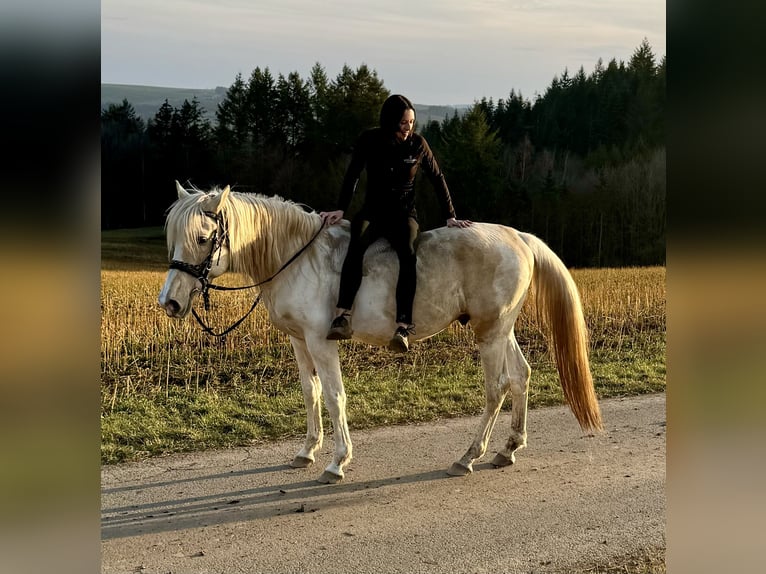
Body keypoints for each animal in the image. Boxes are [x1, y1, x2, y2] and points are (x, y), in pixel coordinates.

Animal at [159, 182, 604, 484]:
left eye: (203, 237)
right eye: (172, 238)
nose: (170, 303)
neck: (296, 257)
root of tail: (519, 237)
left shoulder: (321, 341)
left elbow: (335, 395)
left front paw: (337, 461)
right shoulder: (298, 341)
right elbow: (310, 392)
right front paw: (306, 451)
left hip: (490, 333)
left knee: (497, 388)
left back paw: (468, 456)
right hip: (501, 329)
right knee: (521, 376)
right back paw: (508, 450)